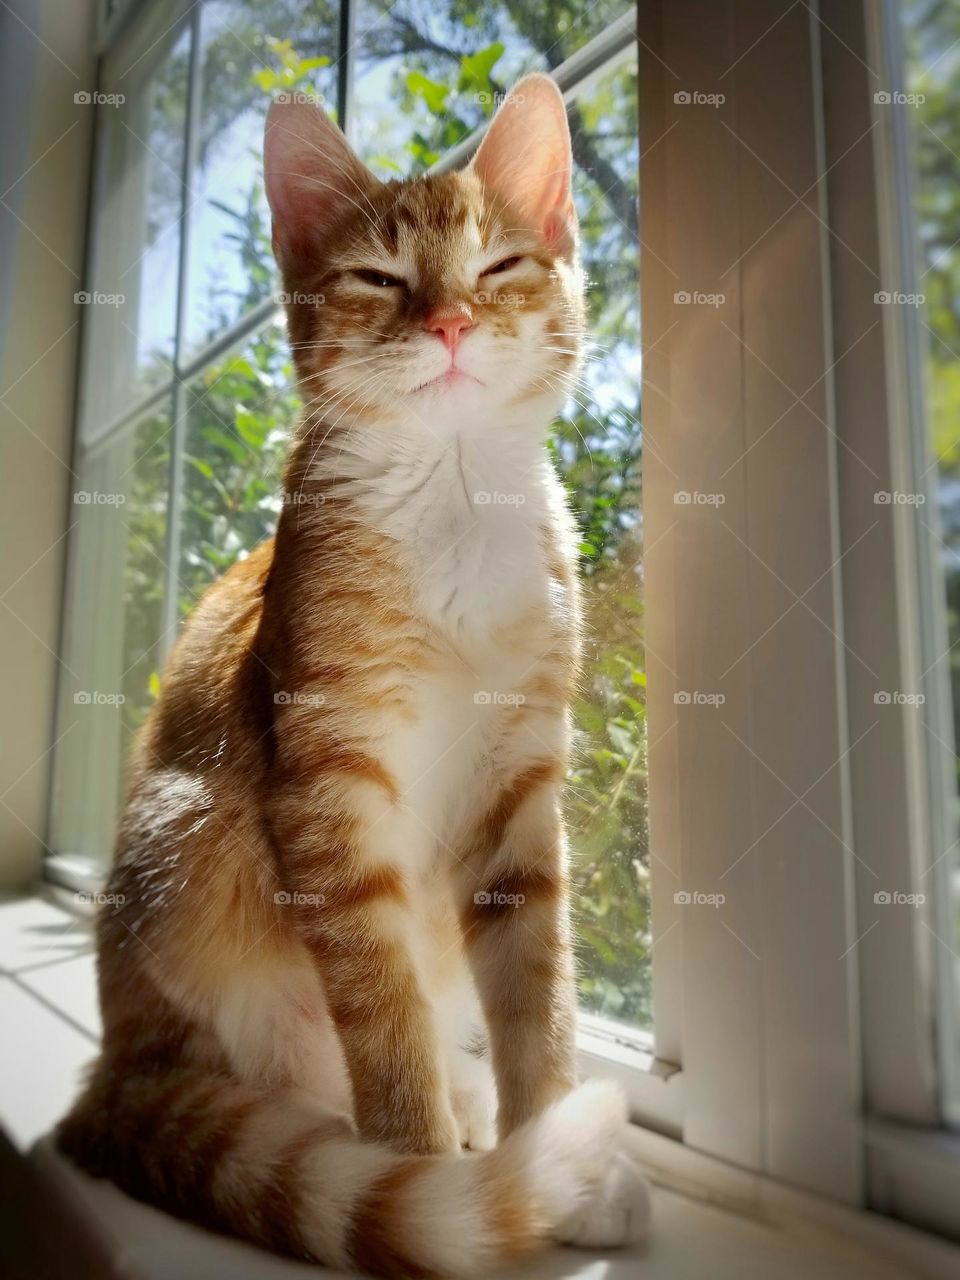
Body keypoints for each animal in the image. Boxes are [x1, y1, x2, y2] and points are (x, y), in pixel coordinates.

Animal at [56, 74, 650, 1274]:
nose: (451, 320)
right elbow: (384, 1014)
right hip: (193, 844)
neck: (458, 501)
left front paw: (549, 1149)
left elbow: (539, 993)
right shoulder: (327, 789)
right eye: (378, 277)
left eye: (498, 266)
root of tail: (118, 1067)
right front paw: (430, 1167)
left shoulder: (521, 785)